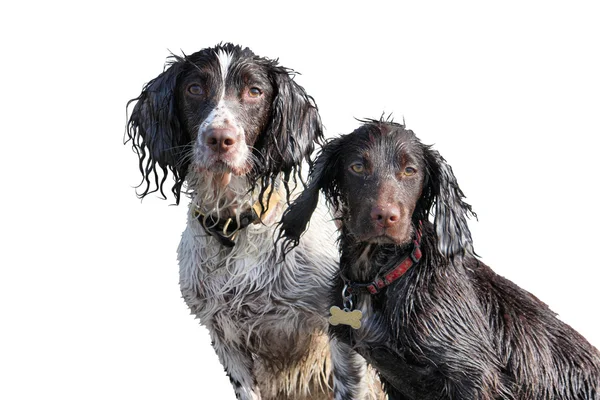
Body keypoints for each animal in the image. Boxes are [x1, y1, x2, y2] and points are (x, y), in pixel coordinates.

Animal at [125, 43, 384, 400]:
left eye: (255, 91)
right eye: (194, 88)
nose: (220, 138)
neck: (235, 226)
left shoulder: (342, 326)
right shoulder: (225, 337)